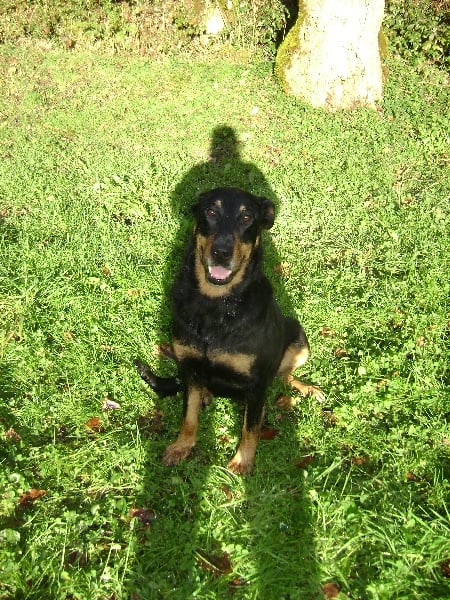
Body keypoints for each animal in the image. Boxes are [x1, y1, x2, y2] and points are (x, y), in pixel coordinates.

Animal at [137, 188, 324, 474]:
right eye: (211, 212)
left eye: (247, 217)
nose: (221, 252)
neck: (216, 304)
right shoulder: (190, 368)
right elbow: (189, 415)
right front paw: (182, 446)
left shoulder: (256, 383)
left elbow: (251, 428)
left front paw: (242, 461)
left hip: (299, 338)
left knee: (284, 374)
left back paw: (307, 389)